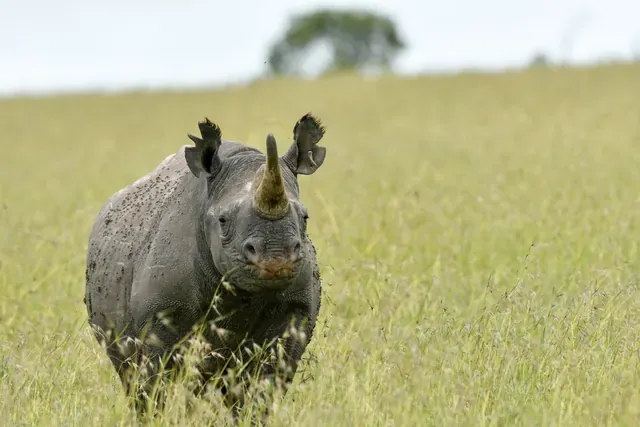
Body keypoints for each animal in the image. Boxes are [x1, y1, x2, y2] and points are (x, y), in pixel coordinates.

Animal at [84, 113, 327, 417]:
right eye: (222, 221)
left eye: (305, 217)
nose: (275, 257)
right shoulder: (160, 313)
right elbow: (157, 380)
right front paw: (161, 418)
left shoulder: (295, 311)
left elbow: (265, 382)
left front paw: (250, 417)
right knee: (131, 374)